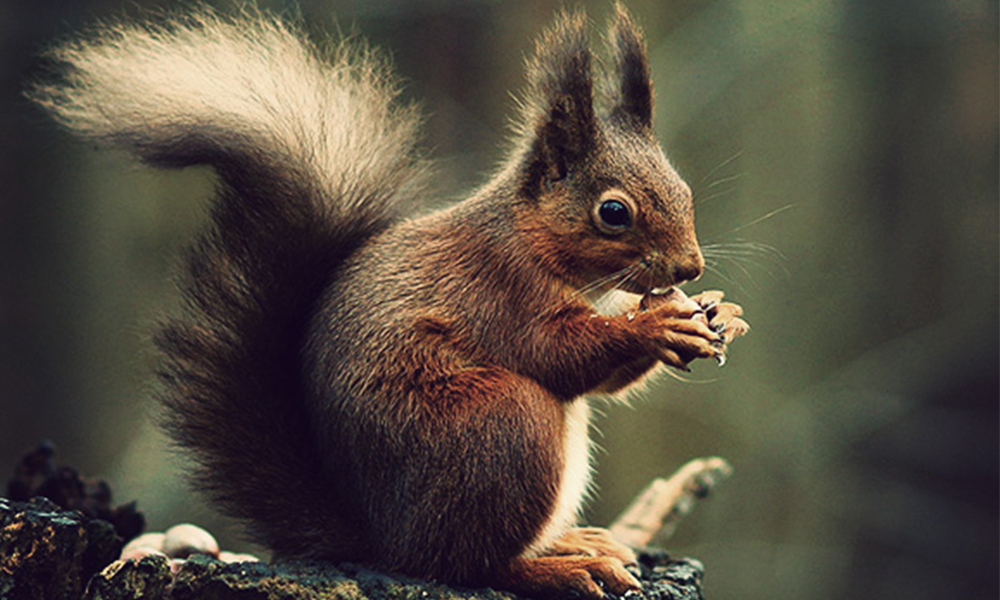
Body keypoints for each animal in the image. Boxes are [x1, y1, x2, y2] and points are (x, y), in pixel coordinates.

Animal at [29, 4, 749, 598]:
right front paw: (658, 324)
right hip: (500, 424)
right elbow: (559, 354)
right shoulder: (498, 290)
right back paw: (558, 567)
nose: (690, 265)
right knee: (466, 564)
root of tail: (385, 538)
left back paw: (573, 541)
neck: (534, 241)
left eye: (683, 188)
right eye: (613, 212)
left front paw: (721, 313)